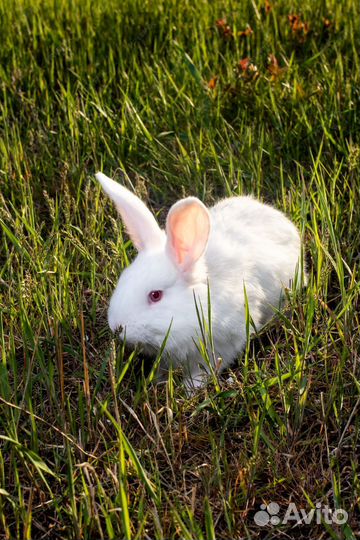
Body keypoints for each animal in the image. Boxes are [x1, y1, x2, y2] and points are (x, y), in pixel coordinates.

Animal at [95, 172, 304, 388]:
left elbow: (204, 369)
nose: (116, 327)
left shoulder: (223, 344)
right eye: (122, 280)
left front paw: (191, 388)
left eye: (155, 295)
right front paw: (160, 380)